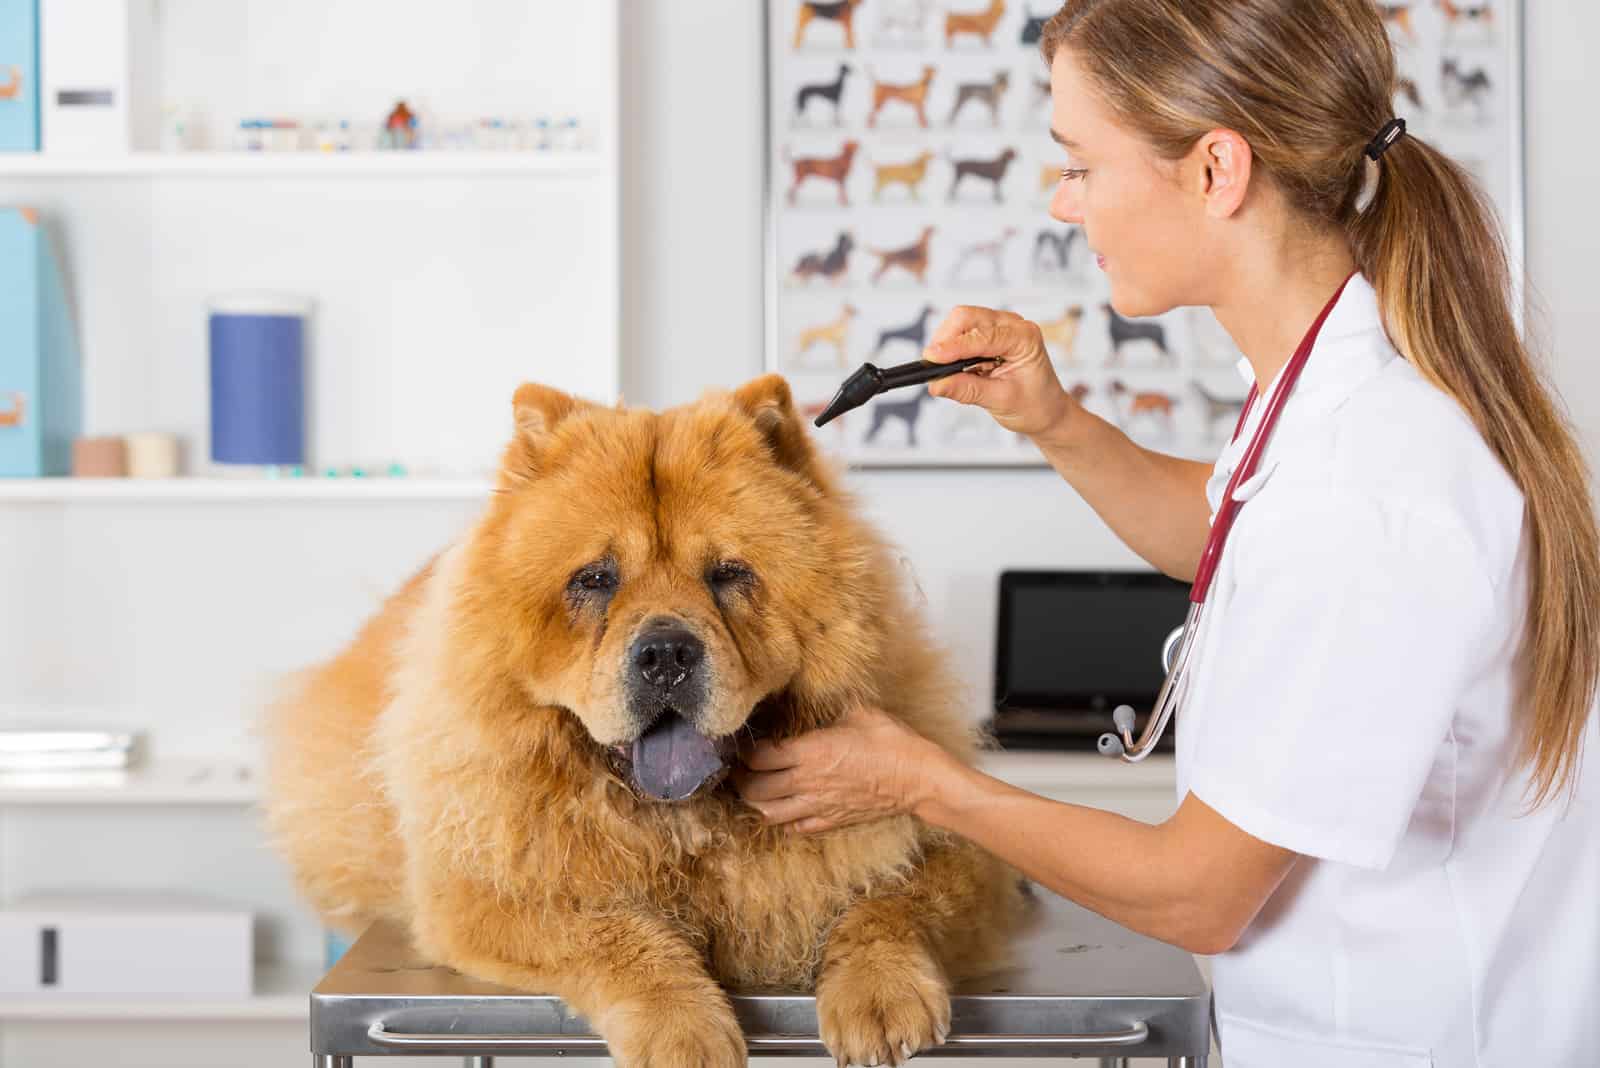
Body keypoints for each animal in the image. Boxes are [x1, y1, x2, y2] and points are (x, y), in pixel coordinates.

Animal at [265, 375, 1024, 1068]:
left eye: (728, 574)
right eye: (596, 579)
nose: (665, 653)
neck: (690, 827)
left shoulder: (953, 847)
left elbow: (893, 902)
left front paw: (881, 995)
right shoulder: (492, 889)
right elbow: (616, 934)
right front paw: (682, 1032)